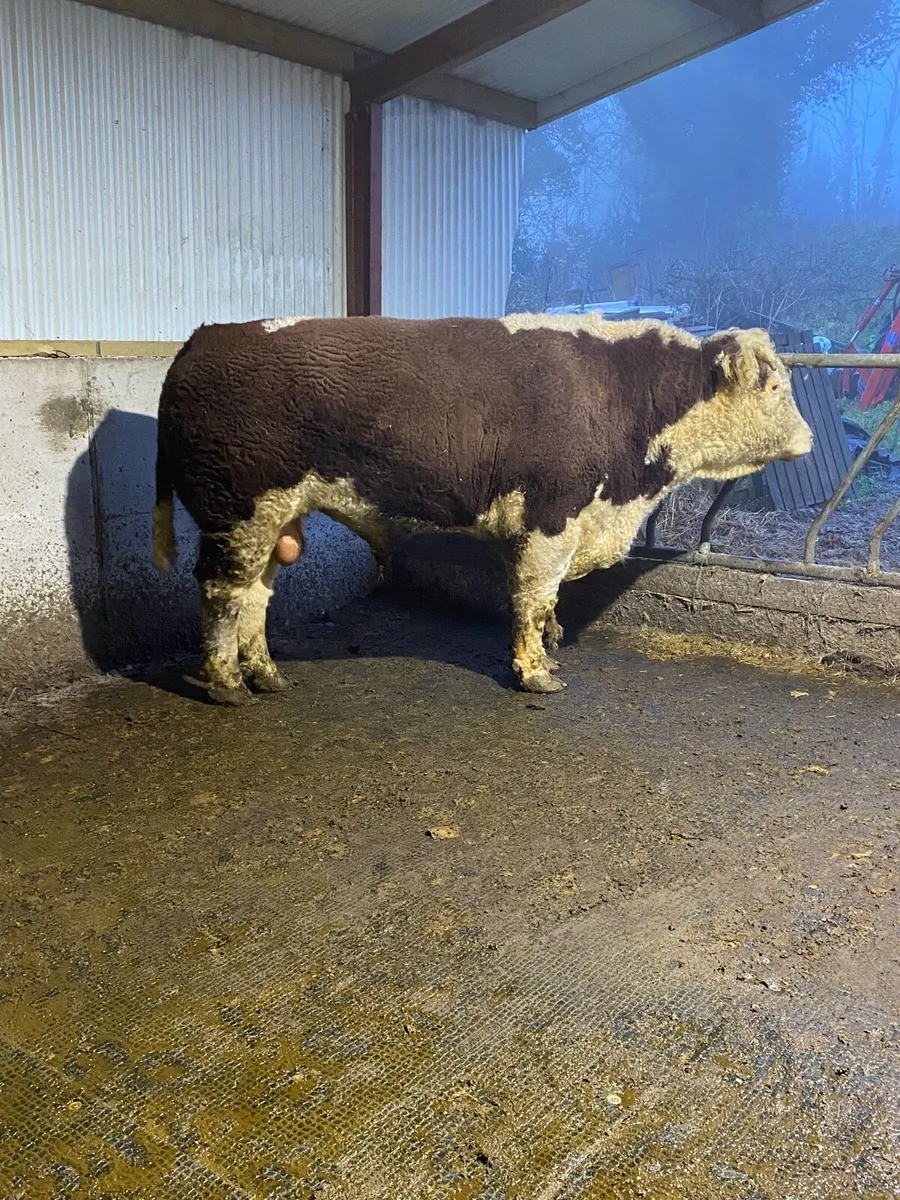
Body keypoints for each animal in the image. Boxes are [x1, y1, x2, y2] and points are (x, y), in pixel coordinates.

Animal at [153, 313, 813, 704]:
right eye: (777, 387)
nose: (808, 440)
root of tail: (207, 336)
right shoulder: (550, 517)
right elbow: (533, 598)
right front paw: (536, 671)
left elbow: (547, 602)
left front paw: (548, 648)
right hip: (239, 511)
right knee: (221, 594)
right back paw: (227, 684)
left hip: (273, 518)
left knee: (255, 596)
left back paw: (267, 675)